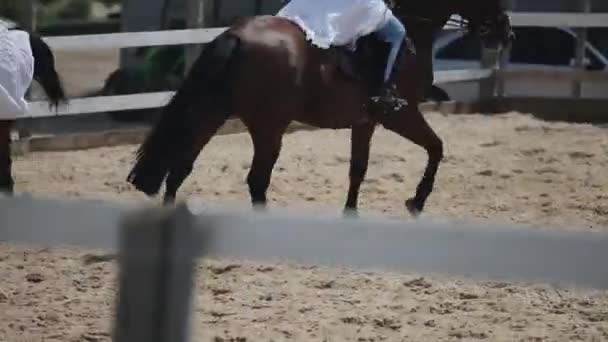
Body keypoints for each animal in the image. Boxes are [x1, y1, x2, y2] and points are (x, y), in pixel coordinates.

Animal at [128, 0, 512, 216]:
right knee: (256, 181)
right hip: (270, 127)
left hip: (212, 113)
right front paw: (416, 202)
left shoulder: (365, 121)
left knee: (181, 167)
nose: (506, 34)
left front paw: (351, 214)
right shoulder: (400, 114)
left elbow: (358, 169)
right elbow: (436, 147)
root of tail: (235, 35)